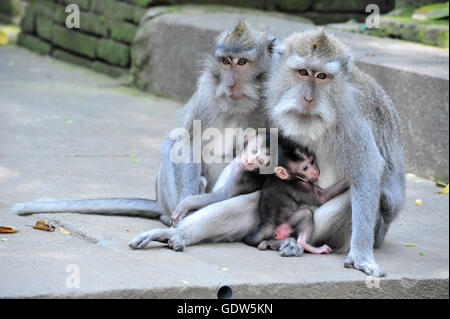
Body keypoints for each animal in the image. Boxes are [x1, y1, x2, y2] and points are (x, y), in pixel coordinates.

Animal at [128, 30, 406, 280]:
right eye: (303, 72)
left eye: (322, 76)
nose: (308, 98)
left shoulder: (353, 120)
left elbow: (367, 174)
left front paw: (361, 254)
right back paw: (179, 234)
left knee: (362, 197)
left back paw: (295, 243)